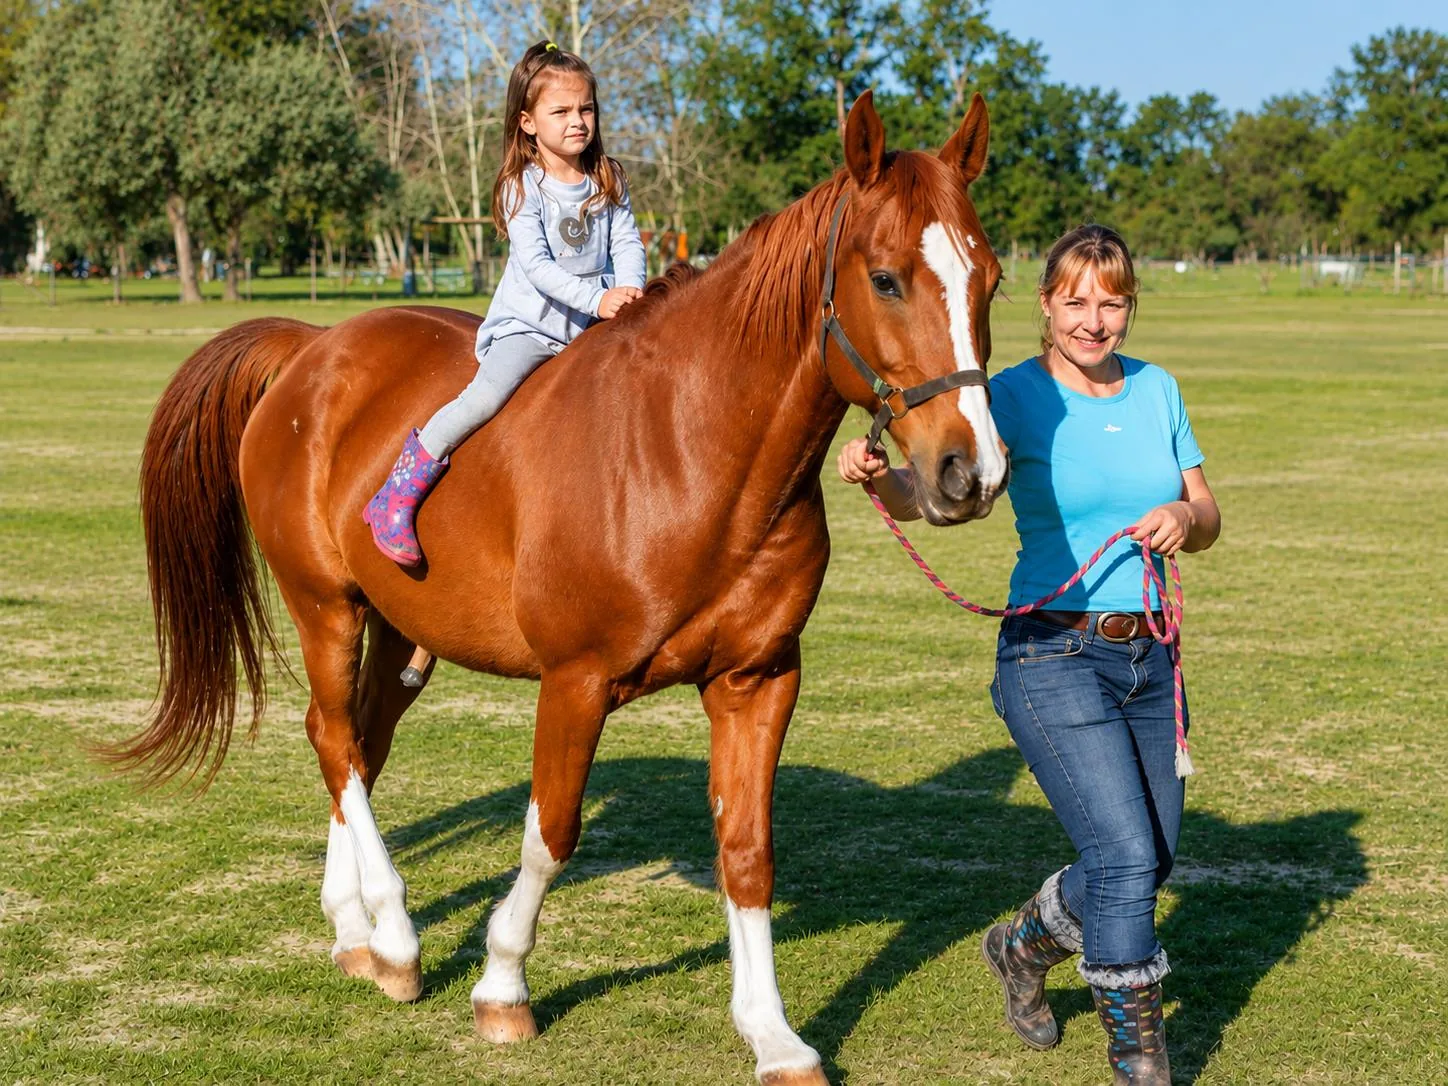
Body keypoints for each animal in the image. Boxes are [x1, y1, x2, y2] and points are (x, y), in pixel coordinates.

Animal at [112, 91, 1007, 1085]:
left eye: (991, 280)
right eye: (886, 280)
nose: (971, 472)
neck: (688, 450)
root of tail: (312, 350)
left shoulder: (759, 681)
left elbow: (748, 852)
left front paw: (773, 1035)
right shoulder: (575, 683)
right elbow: (552, 833)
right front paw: (503, 985)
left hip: (402, 633)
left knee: (355, 745)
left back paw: (355, 928)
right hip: (325, 607)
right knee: (337, 740)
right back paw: (396, 936)